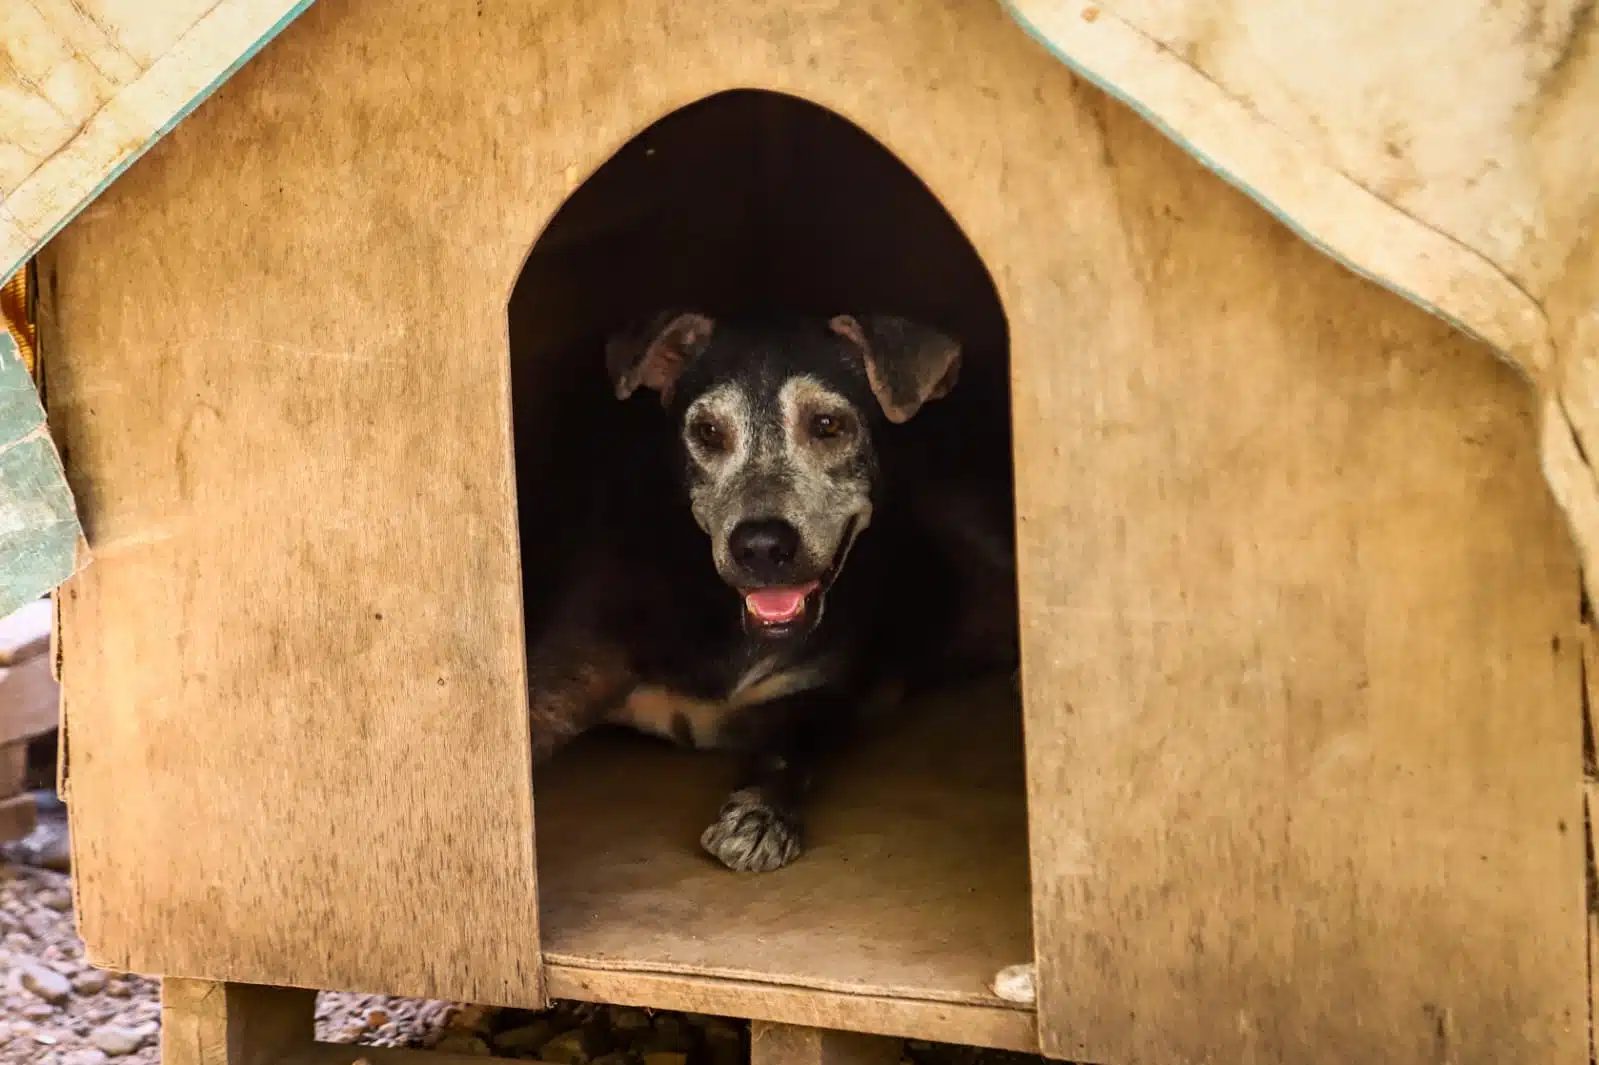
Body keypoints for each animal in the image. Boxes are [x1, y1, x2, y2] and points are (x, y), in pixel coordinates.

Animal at [527, 308, 1023, 869]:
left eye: (828, 425)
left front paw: (760, 816)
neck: (725, 615)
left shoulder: (819, 693)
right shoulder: (564, 671)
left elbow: (790, 752)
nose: (761, 546)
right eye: (707, 431)